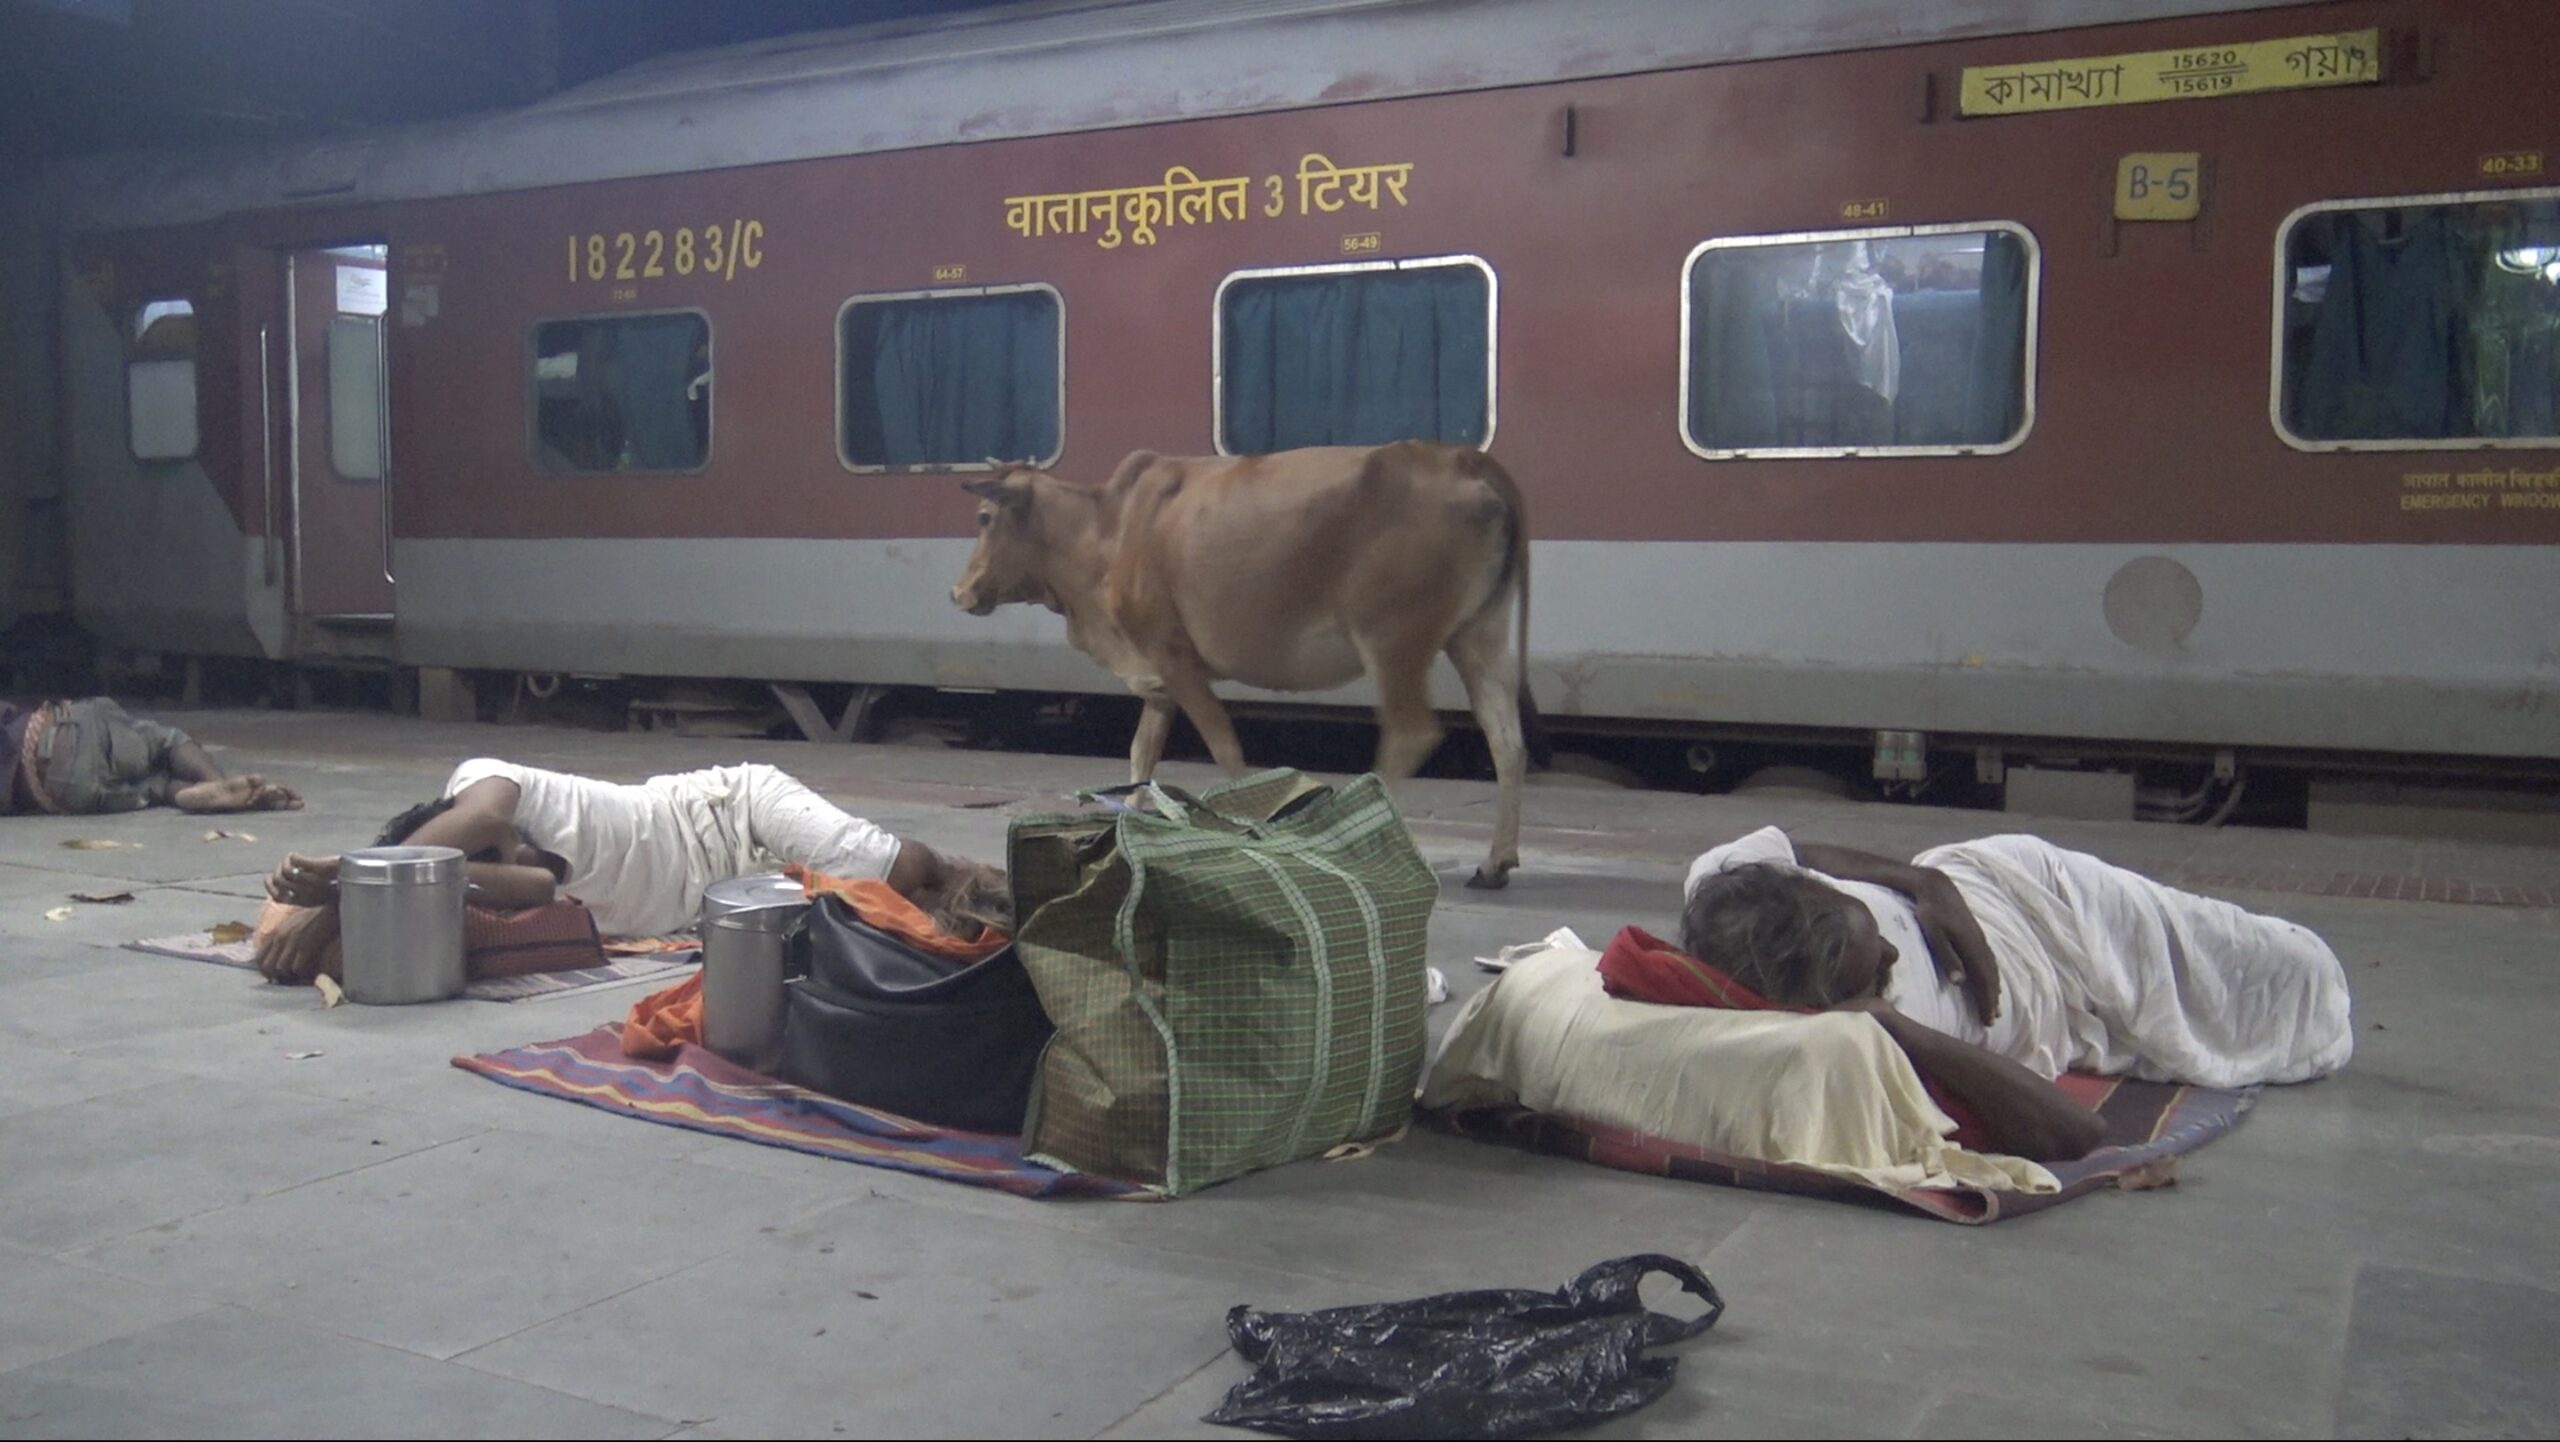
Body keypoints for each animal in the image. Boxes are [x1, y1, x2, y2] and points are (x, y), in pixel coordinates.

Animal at [950, 442, 1543, 888]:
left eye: (983, 517)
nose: (959, 591)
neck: (1105, 532)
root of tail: (1463, 457)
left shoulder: (1175, 656)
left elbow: (1225, 748)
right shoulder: (1160, 679)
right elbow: (1142, 752)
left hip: (1395, 640)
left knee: (1411, 734)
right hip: (1479, 637)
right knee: (1506, 740)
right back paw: (1496, 862)